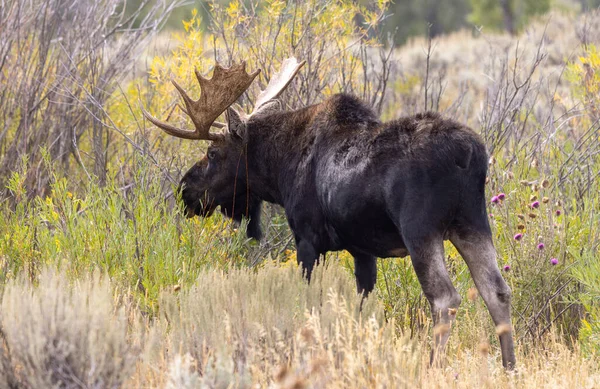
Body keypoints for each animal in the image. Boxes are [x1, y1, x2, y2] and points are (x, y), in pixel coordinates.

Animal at [141, 56, 516, 366]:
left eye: (213, 153)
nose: (185, 191)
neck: (280, 170)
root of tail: (469, 154)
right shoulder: (362, 250)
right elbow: (363, 305)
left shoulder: (307, 239)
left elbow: (310, 300)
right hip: (472, 222)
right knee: (496, 290)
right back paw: (509, 366)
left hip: (421, 230)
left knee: (444, 298)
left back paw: (433, 366)